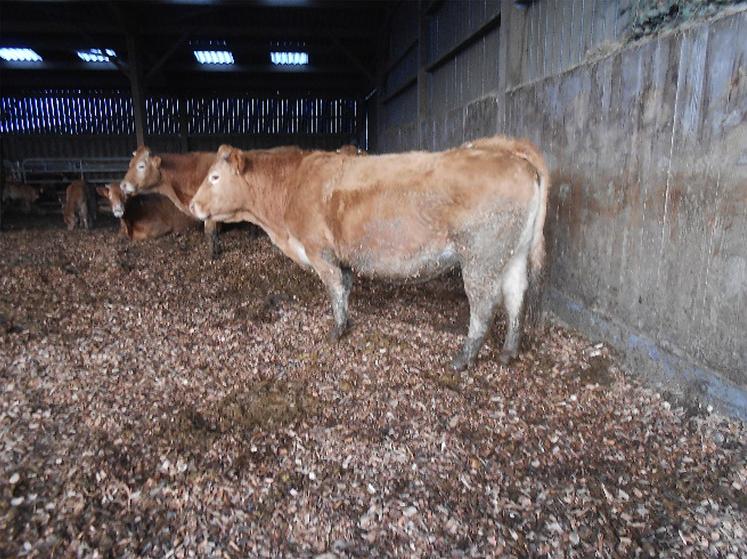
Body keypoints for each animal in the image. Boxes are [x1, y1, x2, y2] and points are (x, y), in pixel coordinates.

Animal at [190, 136, 552, 372]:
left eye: (215, 177)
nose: (193, 206)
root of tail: (506, 153)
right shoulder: (342, 256)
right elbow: (346, 287)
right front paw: (347, 322)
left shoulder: (320, 251)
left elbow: (334, 289)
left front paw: (337, 331)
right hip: (513, 253)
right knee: (516, 295)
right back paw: (508, 352)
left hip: (481, 256)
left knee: (483, 305)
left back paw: (463, 360)